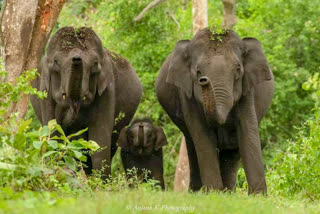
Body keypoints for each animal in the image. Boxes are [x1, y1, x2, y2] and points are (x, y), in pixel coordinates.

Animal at [30, 26, 142, 177]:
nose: (77, 58)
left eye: (95, 64)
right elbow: (52, 132)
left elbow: (100, 138)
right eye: (56, 62)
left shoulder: (107, 91)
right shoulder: (45, 93)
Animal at [155, 28, 272, 194]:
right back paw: (199, 192)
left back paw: (228, 193)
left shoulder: (247, 90)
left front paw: (259, 196)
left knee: (232, 151)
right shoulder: (186, 94)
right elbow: (202, 136)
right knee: (193, 145)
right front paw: (213, 193)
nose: (204, 80)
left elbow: (247, 130)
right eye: (198, 72)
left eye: (238, 70)